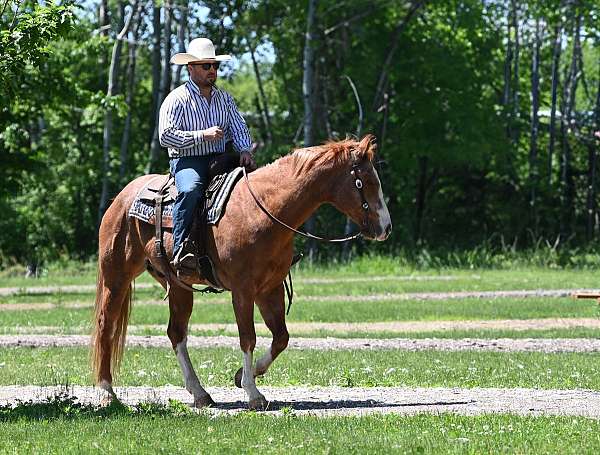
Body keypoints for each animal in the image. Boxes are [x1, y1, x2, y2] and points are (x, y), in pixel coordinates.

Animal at [88, 134, 390, 412]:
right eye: (366, 182)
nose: (386, 228)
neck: (263, 211)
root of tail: (121, 198)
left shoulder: (270, 289)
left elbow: (281, 338)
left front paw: (241, 376)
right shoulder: (243, 291)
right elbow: (248, 338)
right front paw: (253, 393)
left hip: (178, 286)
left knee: (176, 333)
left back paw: (200, 394)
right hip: (116, 276)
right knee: (106, 325)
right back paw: (107, 393)